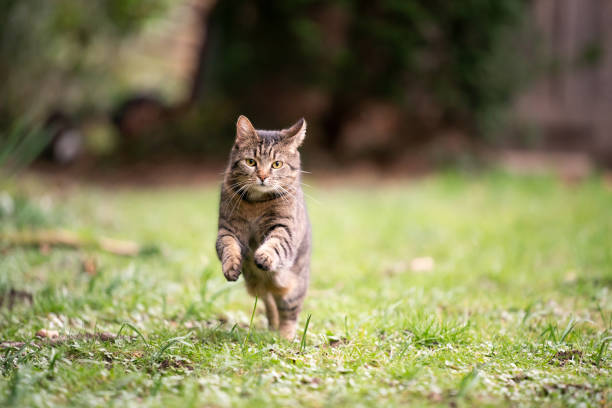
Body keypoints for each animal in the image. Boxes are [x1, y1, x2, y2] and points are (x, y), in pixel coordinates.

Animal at [215, 115, 310, 342]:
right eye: (251, 162)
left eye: (277, 164)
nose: (263, 176)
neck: (256, 203)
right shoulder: (227, 228)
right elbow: (228, 246)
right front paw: (231, 265)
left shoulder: (285, 227)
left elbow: (276, 243)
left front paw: (264, 255)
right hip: (255, 285)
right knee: (269, 304)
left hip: (292, 289)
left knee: (288, 313)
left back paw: (285, 336)